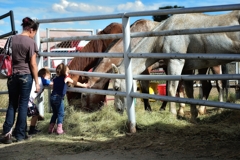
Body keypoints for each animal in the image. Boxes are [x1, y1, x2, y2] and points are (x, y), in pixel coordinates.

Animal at [111, 10, 240, 121]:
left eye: (116, 88)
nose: (117, 110)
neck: (165, 33)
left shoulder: (176, 63)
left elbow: (172, 90)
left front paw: (172, 114)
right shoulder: (187, 69)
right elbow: (189, 91)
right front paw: (194, 115)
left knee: (219, 85)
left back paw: (219, 109)